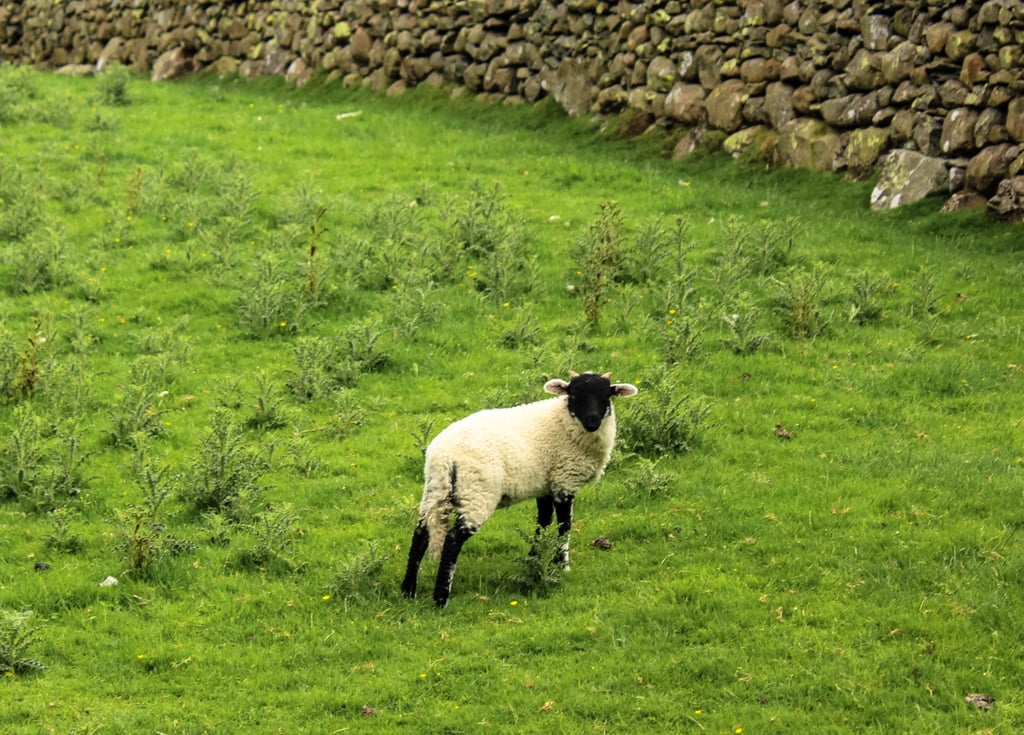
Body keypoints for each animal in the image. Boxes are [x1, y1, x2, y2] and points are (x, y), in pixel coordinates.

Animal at [400, 371, 638, 607]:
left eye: (606, 395)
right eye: (574, 395)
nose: (592, 420)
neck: (565, 423)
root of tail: (444, 456)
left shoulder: (545, 485)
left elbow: (543, 522)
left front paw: (534, 558)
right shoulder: (564, 481)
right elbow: (564, 526)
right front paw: (561, 566)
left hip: (436, 489)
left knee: (420, 535)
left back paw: (408, 591)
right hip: (477, 492)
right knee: (452, 540)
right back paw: (441, 598)